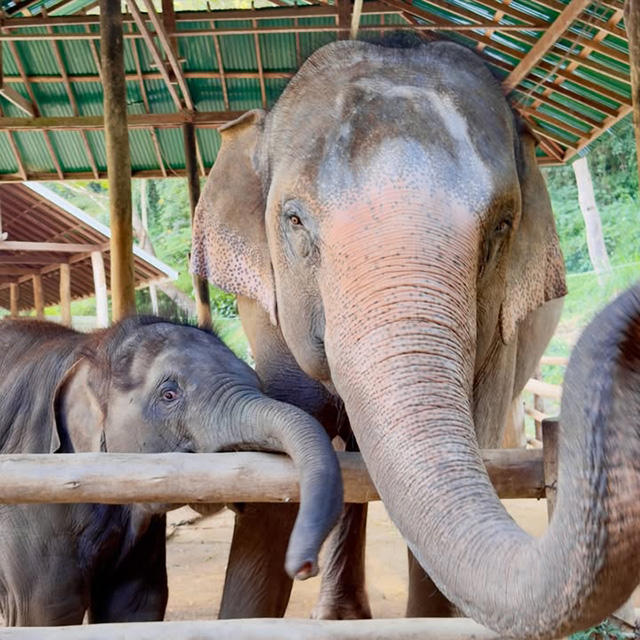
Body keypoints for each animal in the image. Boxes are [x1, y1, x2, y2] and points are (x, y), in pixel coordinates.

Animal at [0, 316, 342, 626]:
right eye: (169, 394)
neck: (89, 348)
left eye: (259, 384)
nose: (304, 567)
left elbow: (134, 603)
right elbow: (46, 609)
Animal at [191, 35, 640, 638]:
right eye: (294, 221)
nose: (301, 564)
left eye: (502, 226)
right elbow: (278, 460)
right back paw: (337, 614)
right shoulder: (265, 311)